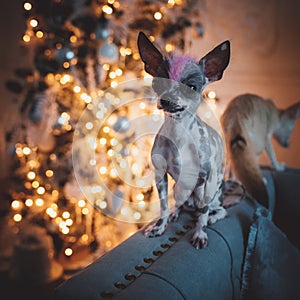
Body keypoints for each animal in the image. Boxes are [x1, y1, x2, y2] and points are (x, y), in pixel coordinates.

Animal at [137, 32, 231, 248]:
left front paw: (199, 233)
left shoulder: (208, 180)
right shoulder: (160, 176)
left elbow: (202, 213)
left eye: (192, 87)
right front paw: (159, 228)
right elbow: (163, 207)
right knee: (181, 204)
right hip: (177, 187)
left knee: (218, 210)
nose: (167, 100)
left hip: (212, 193)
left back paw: (212, 218)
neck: (178, 133)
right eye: (157, 83)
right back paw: (176, 213)